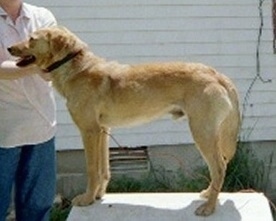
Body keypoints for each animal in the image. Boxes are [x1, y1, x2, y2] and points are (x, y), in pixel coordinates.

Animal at [8, 26, 239, 216]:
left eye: (31, 38)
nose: (9, 48)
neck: (76, 68)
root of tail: (217, 75)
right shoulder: (102, 131)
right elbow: (103, 169)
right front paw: (98, 196)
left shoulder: (89, 131)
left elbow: (92, 169)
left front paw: (87, 199)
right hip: (207, 133)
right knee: (218, 167)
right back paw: (208, 194)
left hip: (202, 132)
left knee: (219, 167)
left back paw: (209, 207)